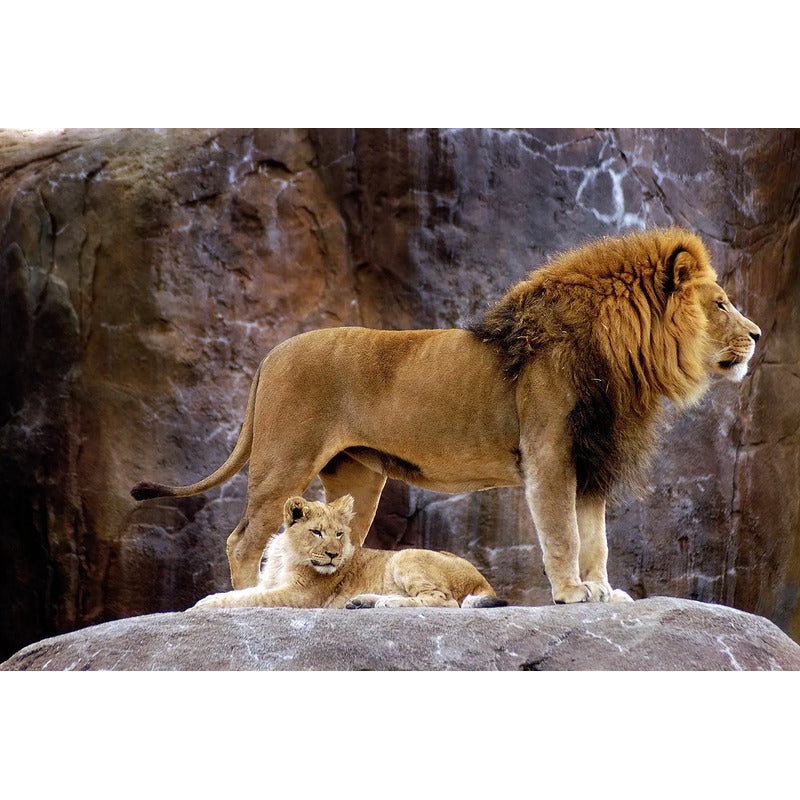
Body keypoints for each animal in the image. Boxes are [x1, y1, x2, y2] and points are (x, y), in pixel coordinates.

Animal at [193, 494, 505, 609]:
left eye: (339, 534)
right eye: (317, 532)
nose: (333, 555)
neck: (287, 554)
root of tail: (484, 580)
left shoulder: (299, 595)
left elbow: (249, 598)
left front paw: (203, 604)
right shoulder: (271, 583)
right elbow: (243, 593)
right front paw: (209, 599)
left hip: (405, 556)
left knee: (445, 601)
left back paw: (387, 603)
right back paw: (362, 601)